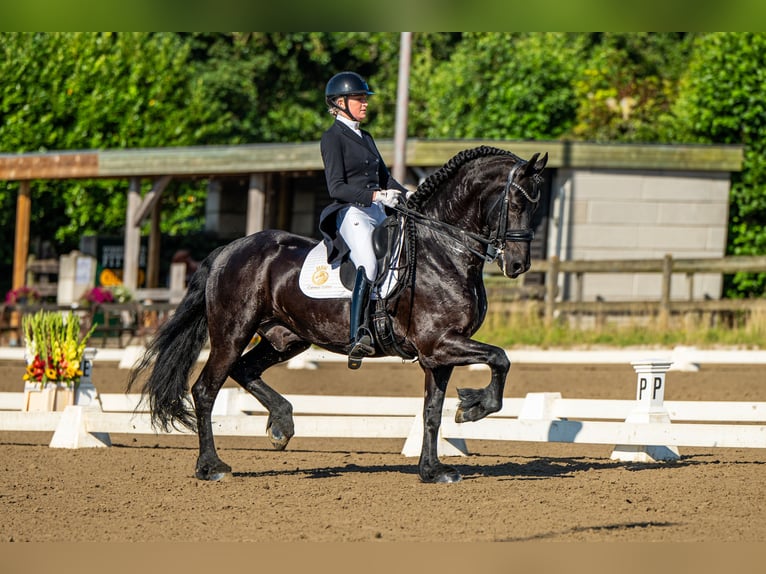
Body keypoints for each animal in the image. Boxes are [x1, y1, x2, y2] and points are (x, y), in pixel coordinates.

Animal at [132, 145, 548, 486]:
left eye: (536, 205)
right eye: (514, 202)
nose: (517, 265)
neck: (443, 249)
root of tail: (229, 250)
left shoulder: (437, 353)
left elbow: (432, 411)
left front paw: (433, 470)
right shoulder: (441, 343)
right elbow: (500, 358)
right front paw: (475, 408)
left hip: (286, 338)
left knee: (245, 370)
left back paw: (281, 424)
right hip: (232, 333)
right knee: (205, 389)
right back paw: (211, 467)